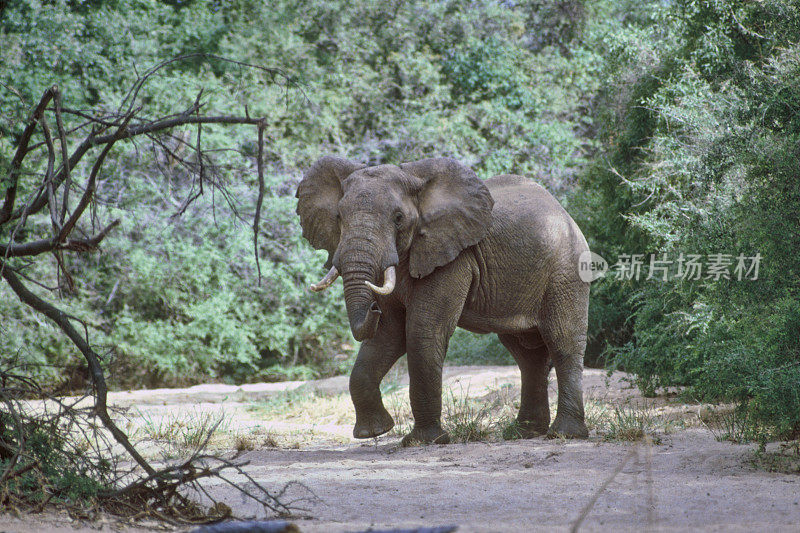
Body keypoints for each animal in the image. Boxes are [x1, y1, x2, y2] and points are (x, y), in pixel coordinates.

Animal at [296, 155, 592, 444]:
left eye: (398, 218)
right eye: (338, 216)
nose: (373, 306)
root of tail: (564, 210)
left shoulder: (453, 258)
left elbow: (421, 331)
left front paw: (424, 441)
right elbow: (388, 335)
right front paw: (375, 432)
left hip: (567, 270)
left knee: (562, 340)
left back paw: (564, 434)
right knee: (526, 355)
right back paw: (523, 433)